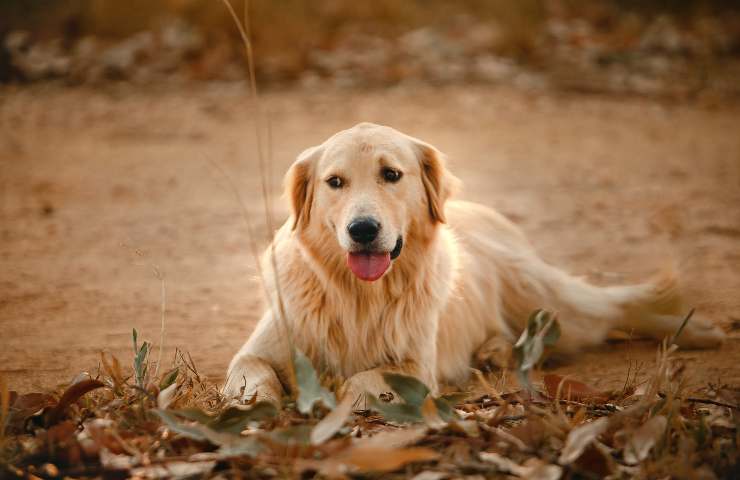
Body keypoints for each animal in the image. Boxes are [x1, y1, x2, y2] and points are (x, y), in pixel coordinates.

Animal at [224, 122, 724, 404]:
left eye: (391, 174)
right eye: (335, 182)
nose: (363, 229)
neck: (357, 294)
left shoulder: (416, 367)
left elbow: (362, 379)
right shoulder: (263, 345)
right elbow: (249, 373)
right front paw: (253, 402)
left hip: (544, 296)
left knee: (611, 307)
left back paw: (698, 330)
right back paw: (494, 351)